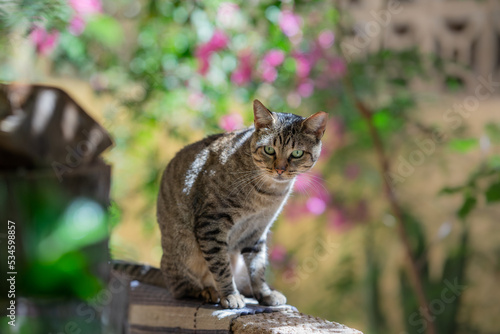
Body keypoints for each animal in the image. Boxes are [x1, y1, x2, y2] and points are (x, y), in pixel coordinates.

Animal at [157, 99, 328, 308]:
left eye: (296, 153)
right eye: (269, 149)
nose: (280, 169)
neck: (268, 194)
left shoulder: (257, 230)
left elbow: (257, 268)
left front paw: (264, 294)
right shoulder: (211, 223)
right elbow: (221, 266)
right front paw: (230, 295)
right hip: (183, 253)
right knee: (182, 288)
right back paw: (208, 291)